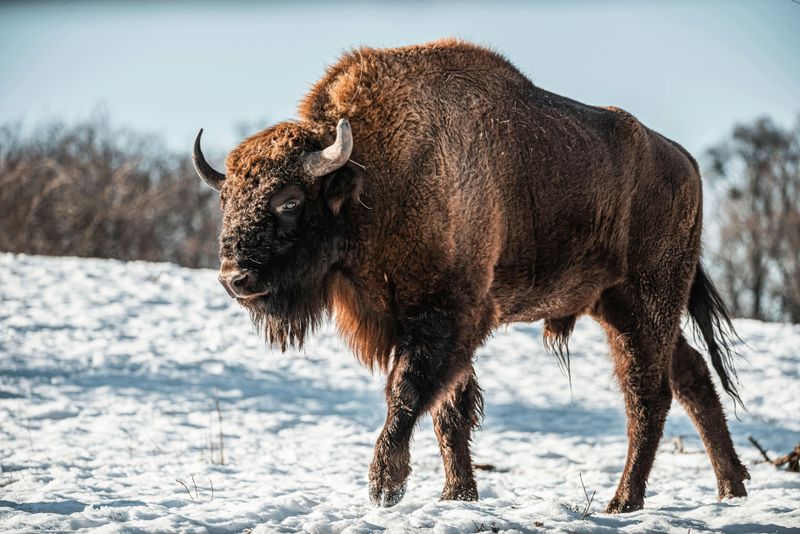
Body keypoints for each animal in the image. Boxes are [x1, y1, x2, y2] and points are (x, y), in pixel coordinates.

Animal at [193, 38, 748, 513]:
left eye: (289, 201)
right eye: (226, 200)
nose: (234, 278)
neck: (374, 177)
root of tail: (685, 163)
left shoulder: (448, 315)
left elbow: (410, 392)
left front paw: (385, 487)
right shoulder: (426, 323)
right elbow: (451, 409)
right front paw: (457, 495)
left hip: (644, 304)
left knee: (648, 396)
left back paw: (624, 502)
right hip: (621, 308)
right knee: (690, 377)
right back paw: (730, 488)